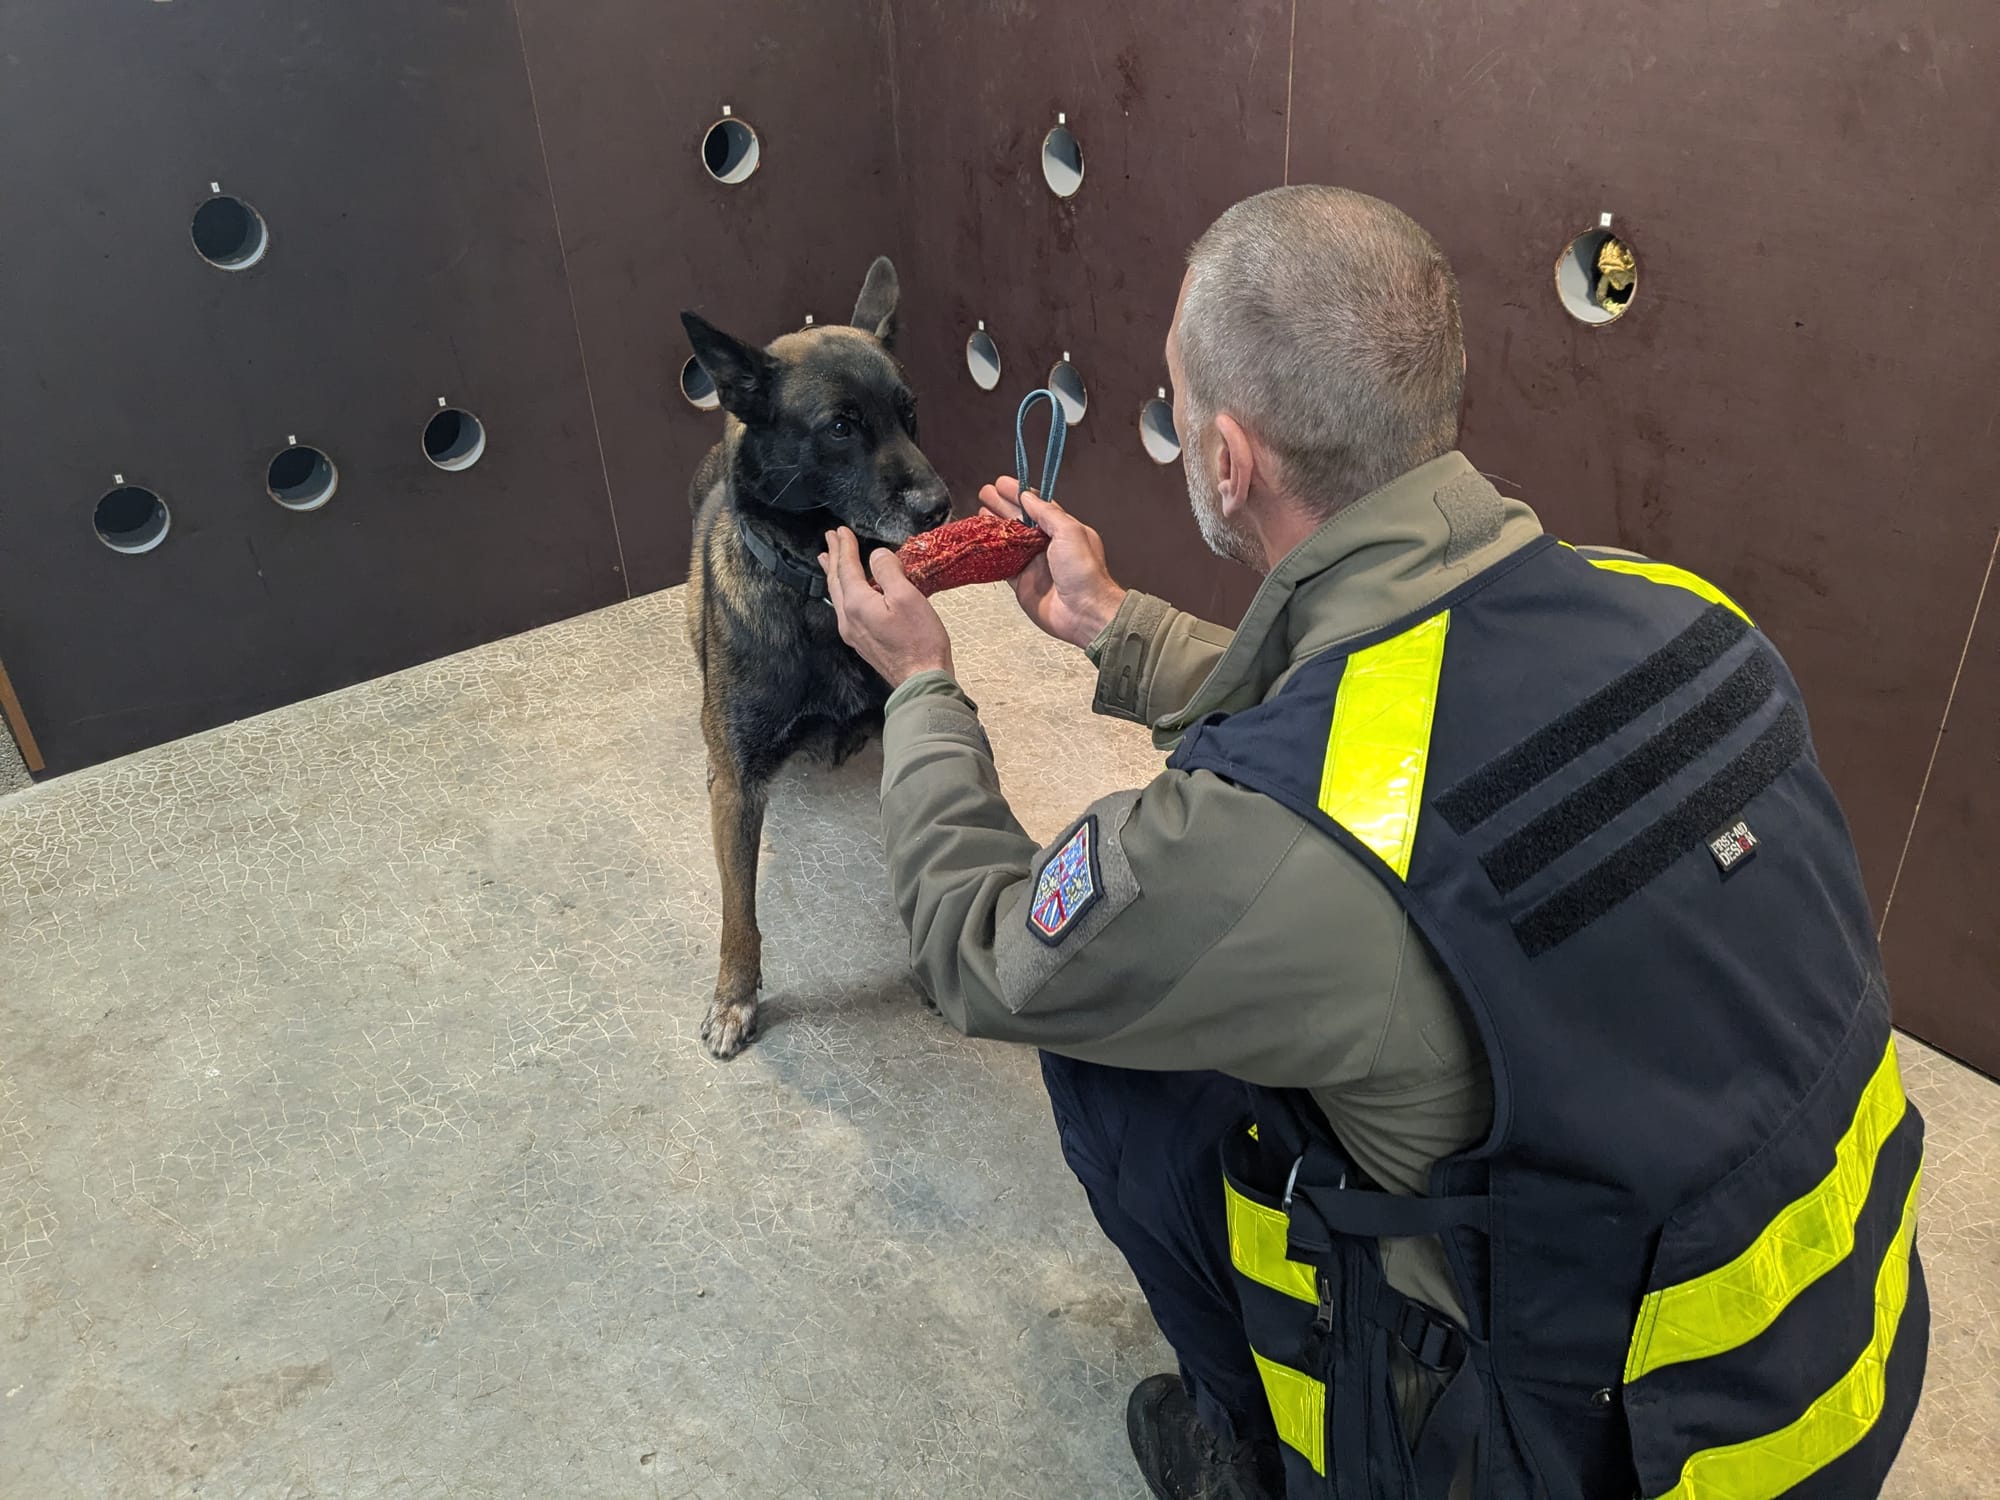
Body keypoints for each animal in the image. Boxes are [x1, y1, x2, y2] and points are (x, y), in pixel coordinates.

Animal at [679, 257, 950, 1059]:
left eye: (909, 414)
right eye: (840, 426)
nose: (940, 505)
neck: (818, 591)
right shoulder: (736, 785)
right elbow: (739, 912)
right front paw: (734, 997)